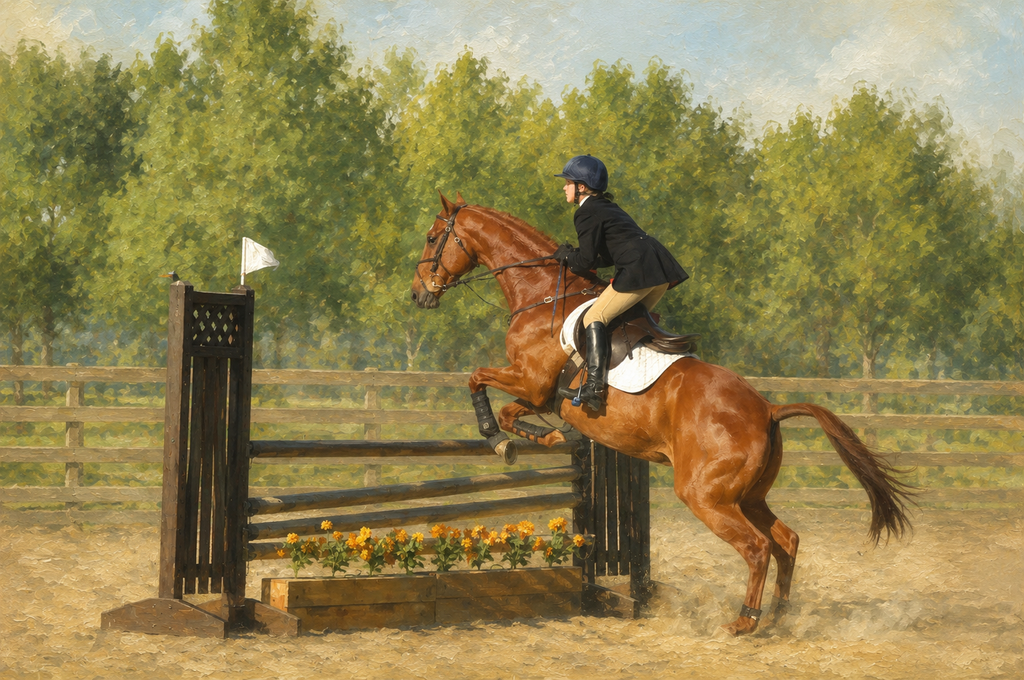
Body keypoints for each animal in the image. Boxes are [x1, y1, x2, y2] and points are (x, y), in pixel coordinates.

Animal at [410, 192, 915, 636]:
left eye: (434, 238)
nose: (418, 295)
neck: (540, 295)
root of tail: (767, 408)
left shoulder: (531, 380)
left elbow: (477, 381)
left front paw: (499, 441)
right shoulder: (538, 394)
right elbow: (512, 412)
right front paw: (546, 438)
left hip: (705, 495)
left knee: (757, 548)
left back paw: (743, 622)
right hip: (747, 495)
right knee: (785, 541)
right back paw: (777, 618)